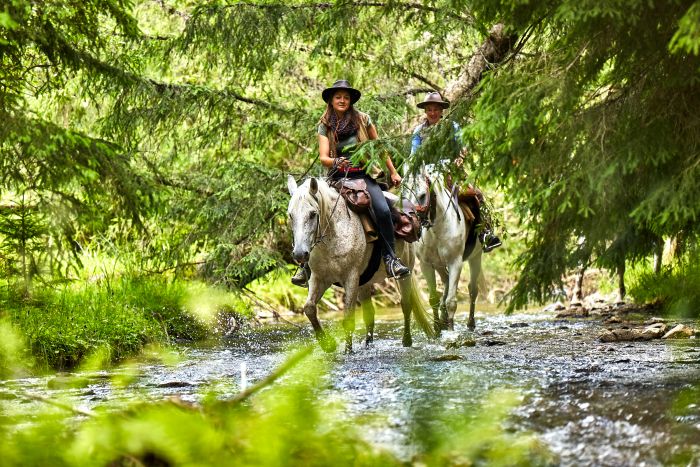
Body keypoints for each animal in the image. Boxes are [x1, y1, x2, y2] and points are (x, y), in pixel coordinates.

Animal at [286, 177, 432, 352]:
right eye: (291, 215)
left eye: (313, 214)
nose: (300, 254)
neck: (334, 234)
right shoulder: (319, 278)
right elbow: (309, 308)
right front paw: (328, 344)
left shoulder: (351, 277)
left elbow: (348, 318)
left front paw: (348, 351)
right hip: (364, 283)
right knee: (370, 313)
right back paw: (368, 345)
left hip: (405, 273)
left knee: (406, 305)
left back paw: (406, 341)